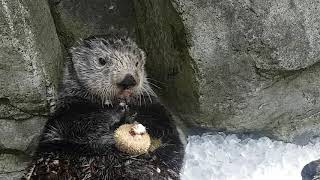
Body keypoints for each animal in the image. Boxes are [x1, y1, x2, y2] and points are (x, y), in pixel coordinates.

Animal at [23, 35, 185, 180]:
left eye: (137, 62)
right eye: (101, 60)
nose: (128, 80)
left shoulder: (154, 108)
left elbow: (163, 128)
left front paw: (132, 114)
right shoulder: (69, 110)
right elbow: (77, 123)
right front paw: (117, 111)